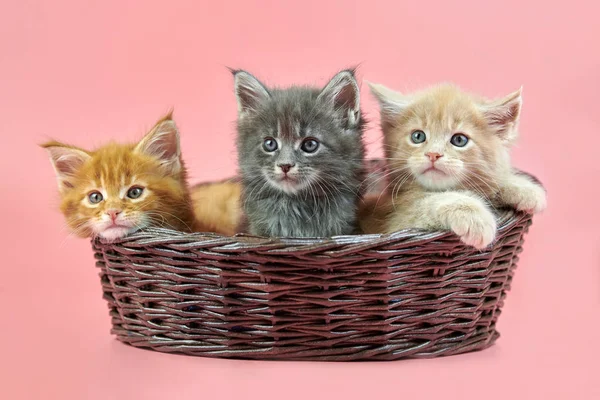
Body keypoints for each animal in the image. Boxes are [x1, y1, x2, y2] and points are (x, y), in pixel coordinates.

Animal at [360, 83, 548, 248]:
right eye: (418, 136)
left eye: (459, 140)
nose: (433, 154)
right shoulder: (396, 221)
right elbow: (427, 202)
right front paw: (474, 216)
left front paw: (523, 188)